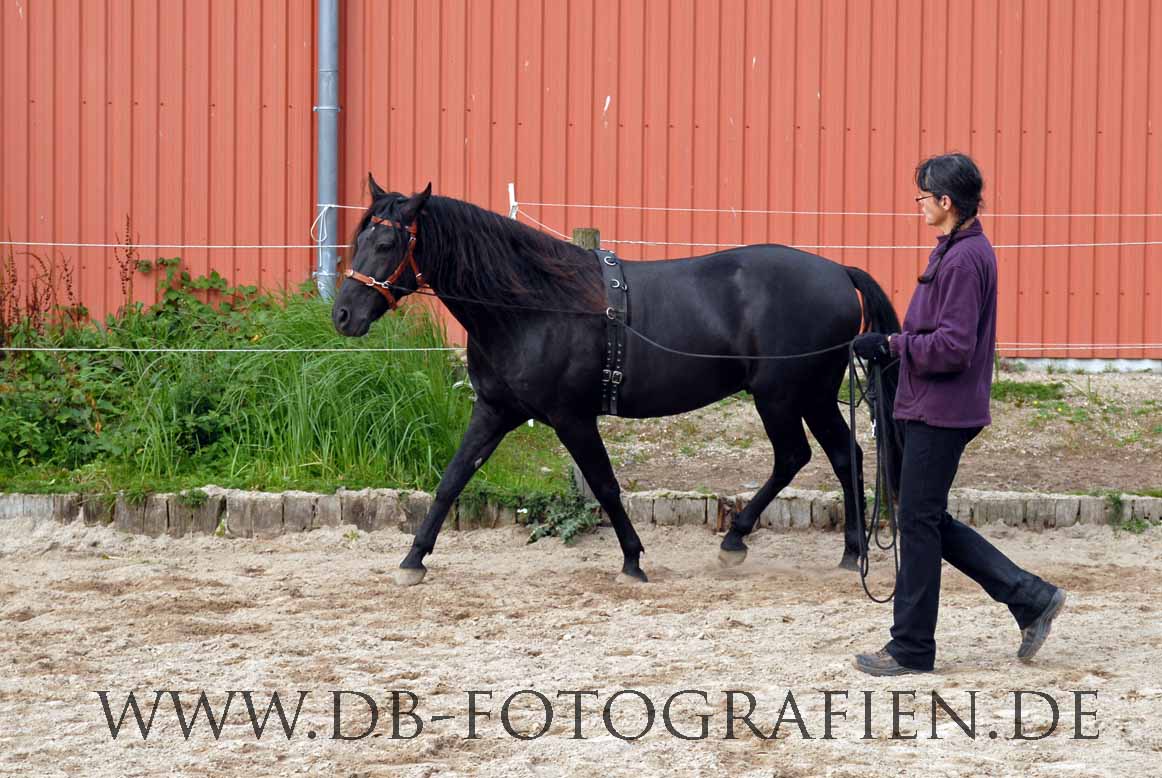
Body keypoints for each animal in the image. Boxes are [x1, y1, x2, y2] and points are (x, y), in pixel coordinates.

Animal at [332, 179, 901, 585]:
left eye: (388, 241)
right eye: (359, 238)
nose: (342, 315)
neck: (533, 303)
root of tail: (838, 271)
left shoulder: (572, 417)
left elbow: (605, 484)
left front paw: (632, 561)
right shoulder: (494, 410)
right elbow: (452, 479)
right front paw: (413, 559)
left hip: (782, 396)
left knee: (796, 457)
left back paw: (737, 541)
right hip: (812, 395)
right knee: (844, 454)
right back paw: (848, 552)